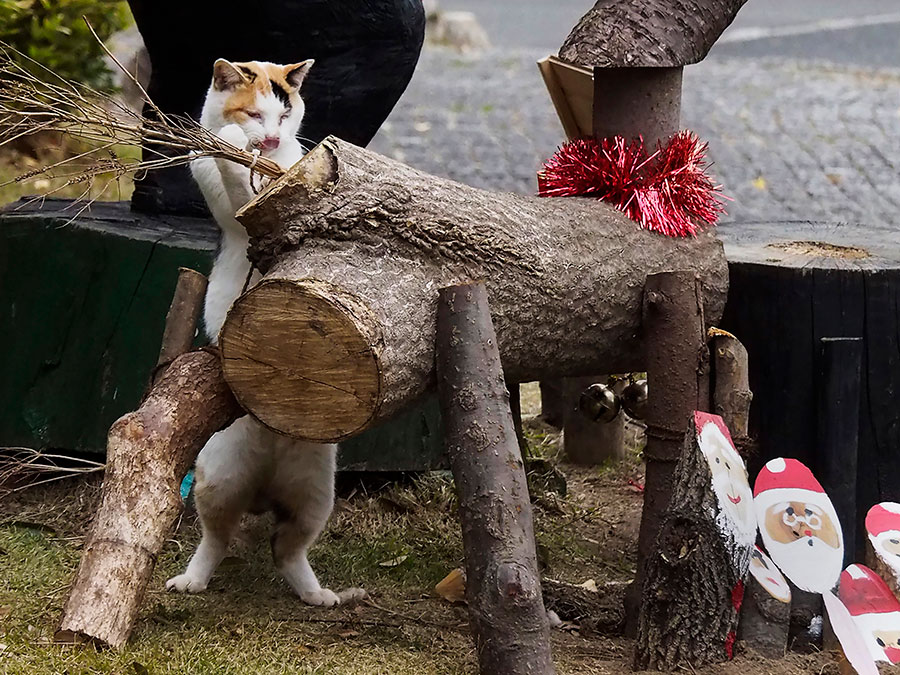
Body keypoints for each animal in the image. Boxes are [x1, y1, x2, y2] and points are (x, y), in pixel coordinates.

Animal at [165, 58, 366, 608]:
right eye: (254, 113)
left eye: (286, 113)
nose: (273, 139)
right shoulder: (224, 193)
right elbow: (233, 176)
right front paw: (235, 143)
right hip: (218, 477)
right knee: (217, 538)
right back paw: (192, 579)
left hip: (315, 492)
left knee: (287, 549)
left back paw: (318, 595)